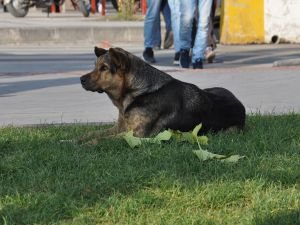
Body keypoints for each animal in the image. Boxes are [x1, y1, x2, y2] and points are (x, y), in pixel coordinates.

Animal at [80, 46, 246, 138]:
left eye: (104, 68)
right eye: (95, 66)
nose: (81, 79)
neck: (140, 91)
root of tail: (240, 104)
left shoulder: (137, 135)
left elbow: (100, 140)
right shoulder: (119, 128)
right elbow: (92, 134)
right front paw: (75, 141)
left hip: (229, 130)